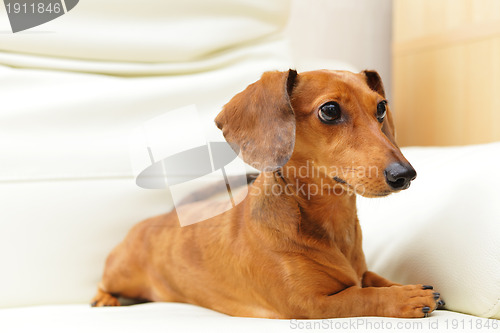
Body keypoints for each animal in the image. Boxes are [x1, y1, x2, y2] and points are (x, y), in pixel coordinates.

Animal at [92, 68, 444, 318]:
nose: (405, 174)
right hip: (120, 274)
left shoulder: (360, 272)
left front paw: (405, 286)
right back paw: (104, 298)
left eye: (381, 108)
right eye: (329, 110)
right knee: (105, 282)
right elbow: (360, 295)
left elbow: (373, 279)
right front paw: (405, 297)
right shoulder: (308, 304)